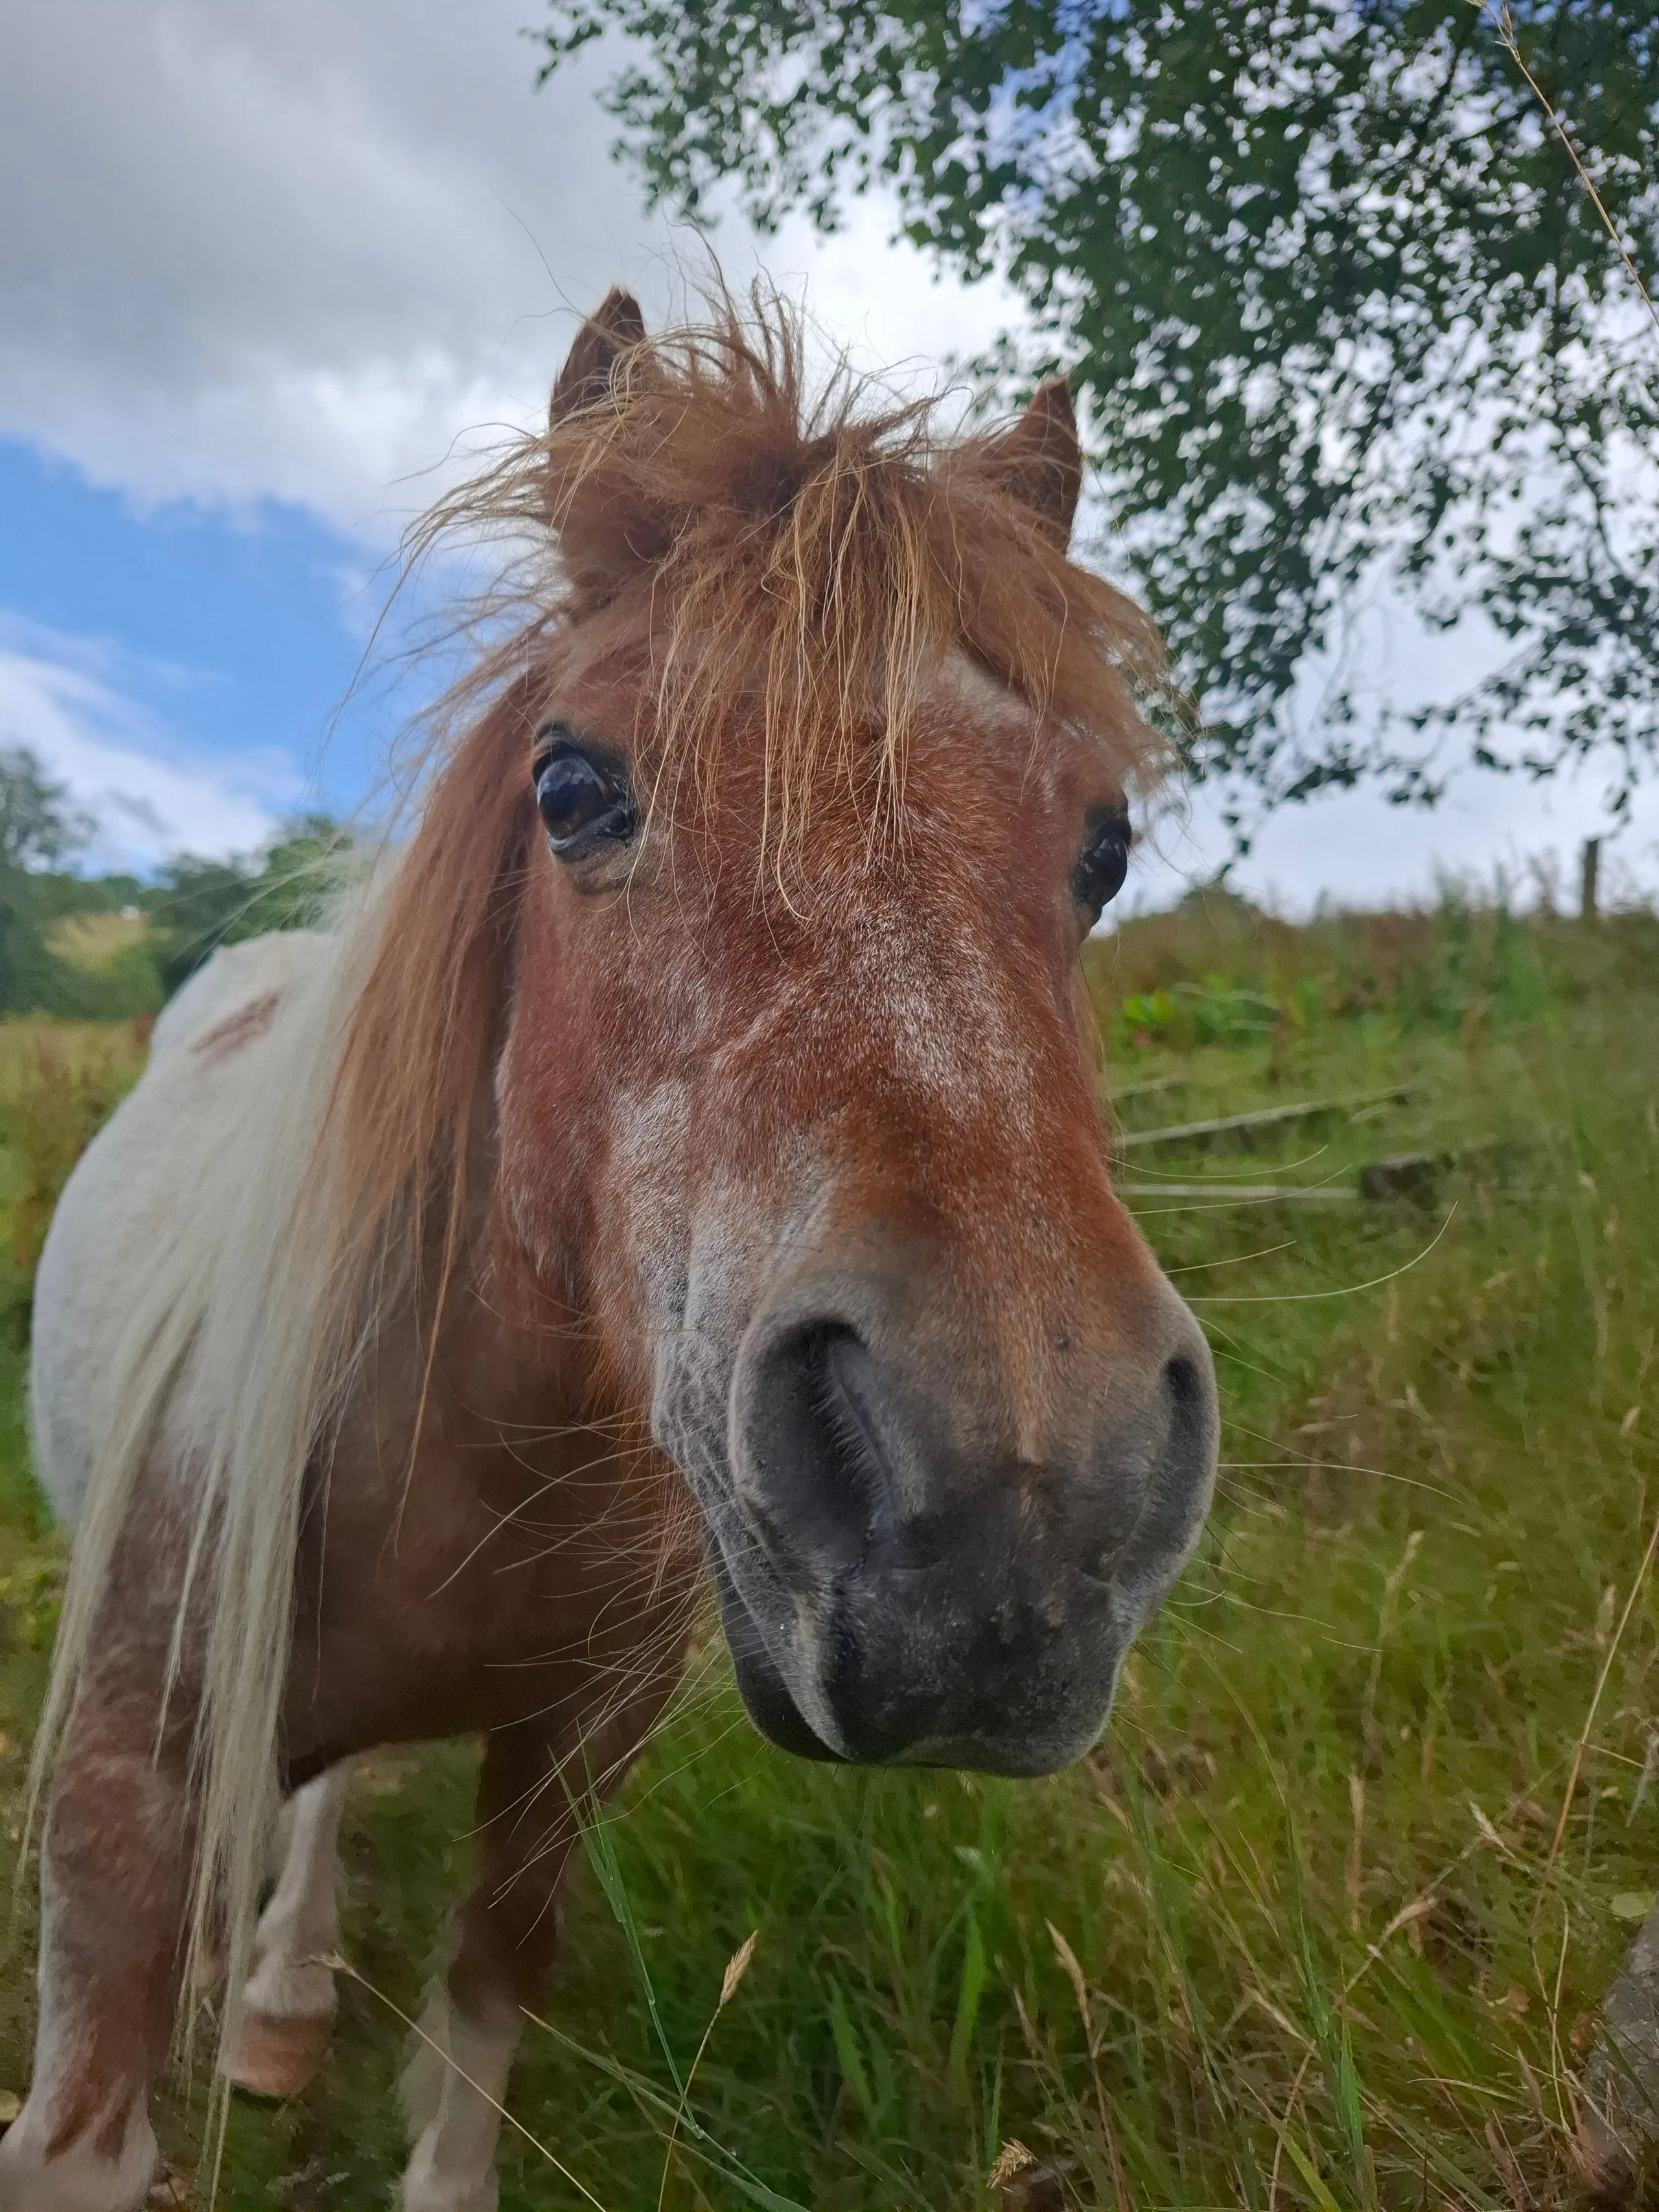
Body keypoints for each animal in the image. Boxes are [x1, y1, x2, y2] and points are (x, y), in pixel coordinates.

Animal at [0, 287, 1219, 2212]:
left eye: (1102, 846)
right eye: (572, 789)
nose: (1018, 1497)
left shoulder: (568, 1756)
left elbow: (489, 1983)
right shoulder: (122, 1800)